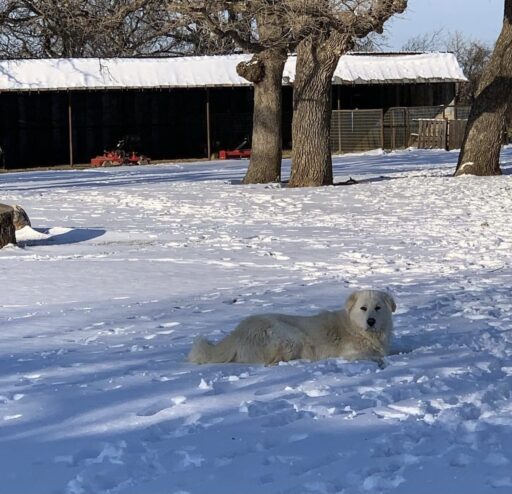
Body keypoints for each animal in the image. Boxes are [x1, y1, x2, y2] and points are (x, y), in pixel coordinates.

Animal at [188, 288, 396, 364]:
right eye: (363, 308)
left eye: (378, 308)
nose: (371, 321)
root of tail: (237, 332)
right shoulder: (350, 353)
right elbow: (376, 357)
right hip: (291, 336)